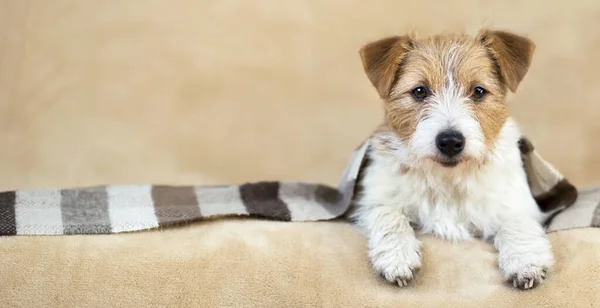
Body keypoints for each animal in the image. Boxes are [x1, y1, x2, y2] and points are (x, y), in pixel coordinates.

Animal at [352, 27, 552, 290]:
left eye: (478, 91)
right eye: (419, 91)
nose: (449, 141)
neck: (448, 178)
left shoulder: (515, 204)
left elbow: (517, 223)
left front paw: (526, 262)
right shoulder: (374, 200)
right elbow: (389, 216)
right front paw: (397, 258)